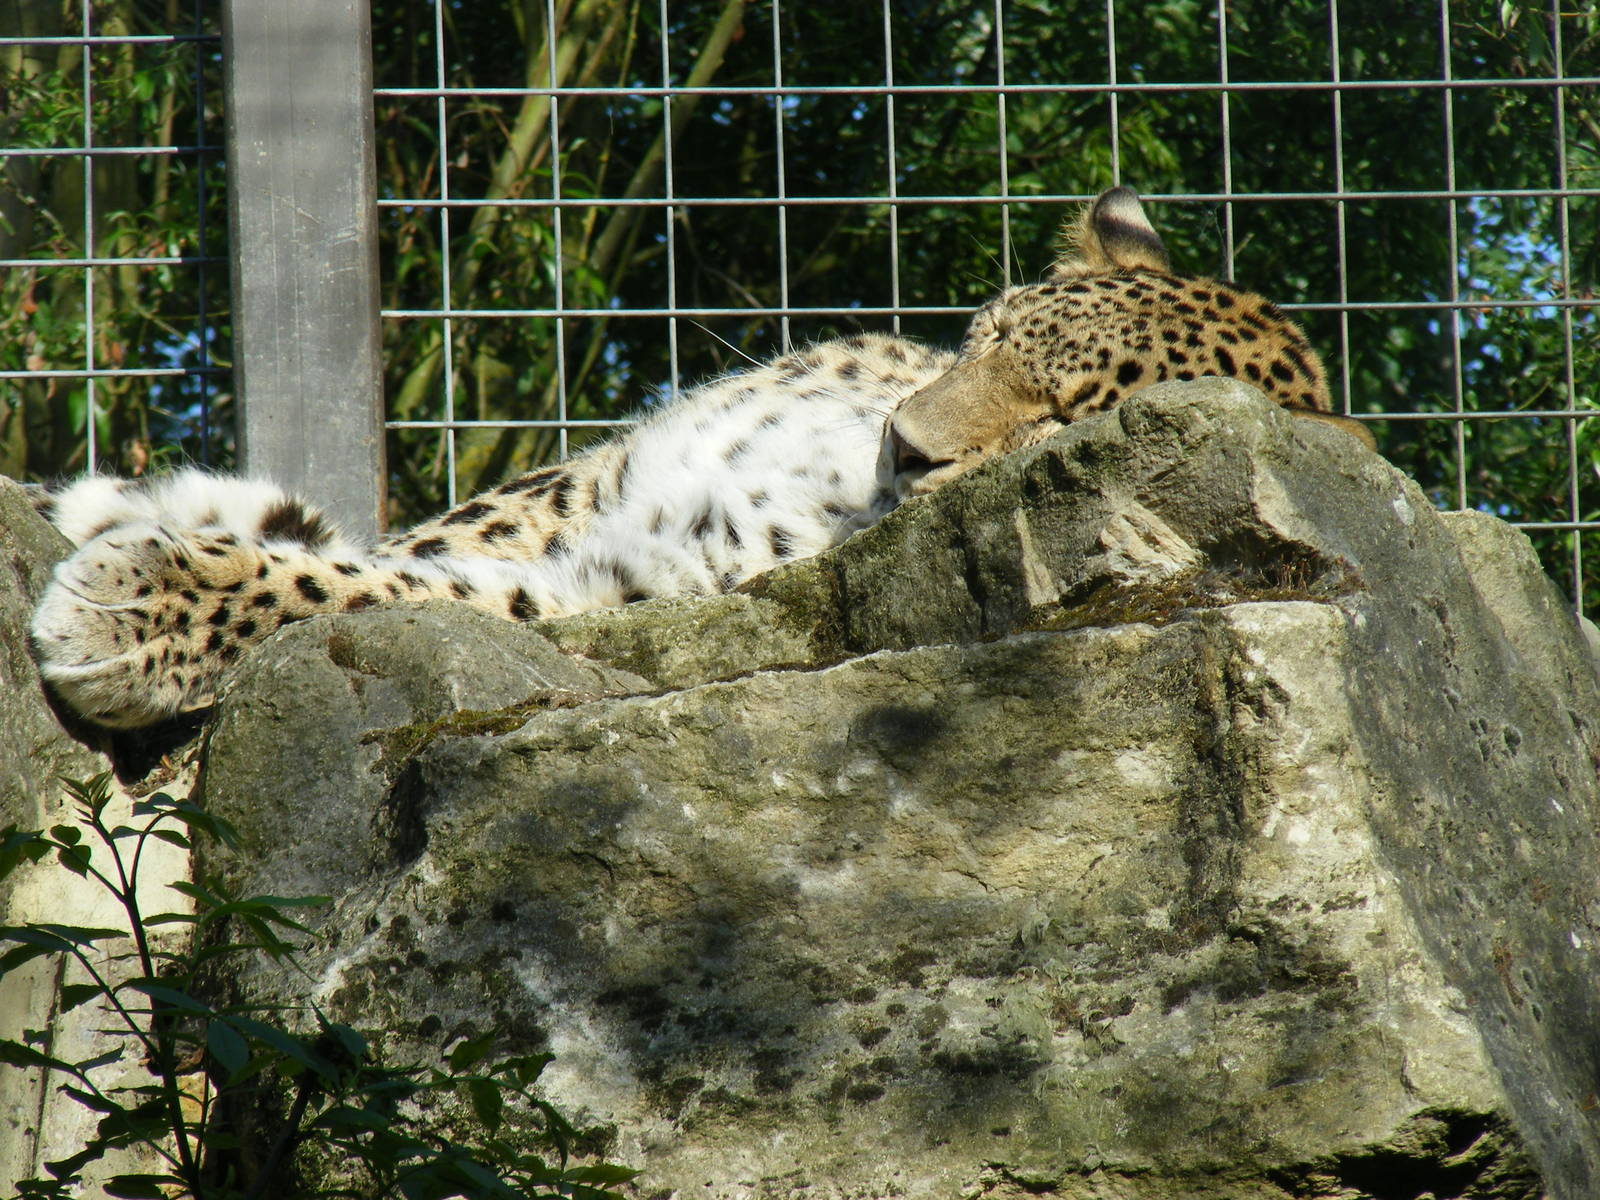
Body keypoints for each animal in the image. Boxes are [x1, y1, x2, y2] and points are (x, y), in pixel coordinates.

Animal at [28, 187, 1366, 730]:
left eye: (1062, 425)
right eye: (987, 333)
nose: (905, 444)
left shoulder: (638, 600)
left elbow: (367, 590)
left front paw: (135, 604)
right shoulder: (591, 484)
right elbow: (431, 539)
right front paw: (125, 528)